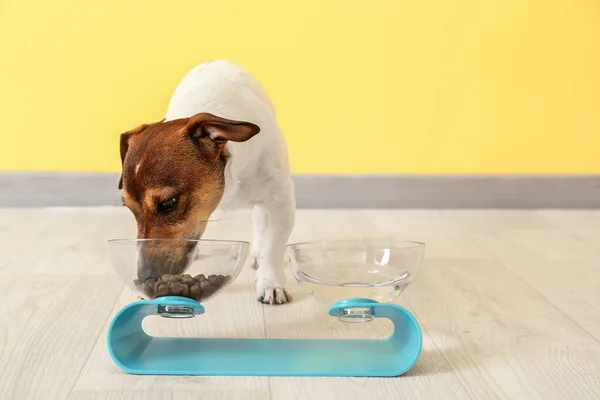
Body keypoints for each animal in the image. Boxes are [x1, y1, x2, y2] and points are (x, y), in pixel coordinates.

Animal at [118, 59, 296, 304]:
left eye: (168, 203)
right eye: (129, 208)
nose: (145, 278)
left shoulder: (280, 200)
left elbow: (273, 246)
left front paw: (271, 283)